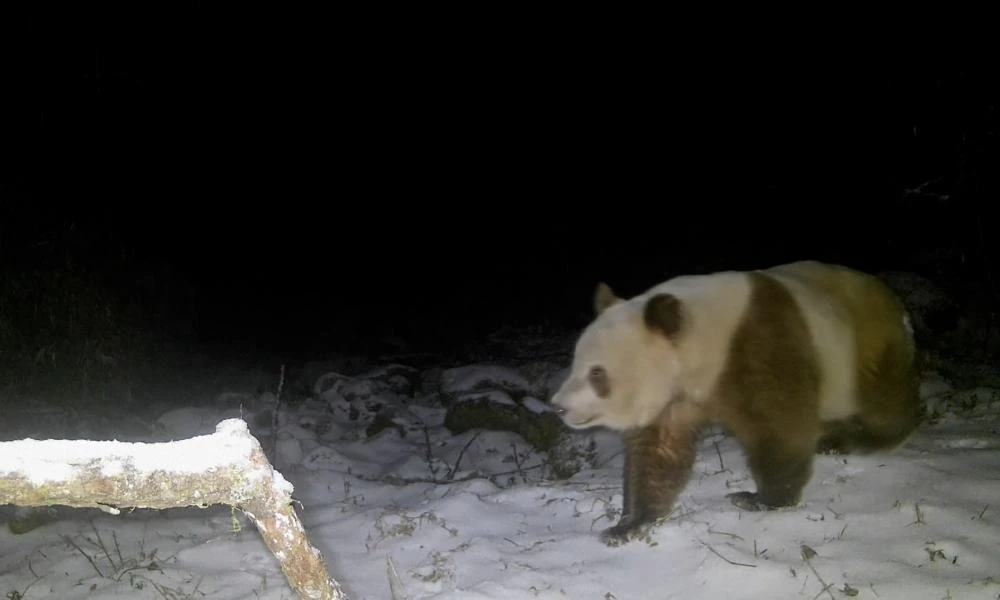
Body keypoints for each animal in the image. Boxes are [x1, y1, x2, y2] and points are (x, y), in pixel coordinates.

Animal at [552, 260, 924, 548]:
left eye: (597, 373)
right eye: (575, 362)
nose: (559, 406)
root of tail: (893, 299)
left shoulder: (759, 347)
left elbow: (779, 425)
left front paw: (762, 499)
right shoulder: (675, 395)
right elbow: (658, 454)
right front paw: (627, 525)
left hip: (863, 346)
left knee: (883, 400)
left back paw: (871, 438)